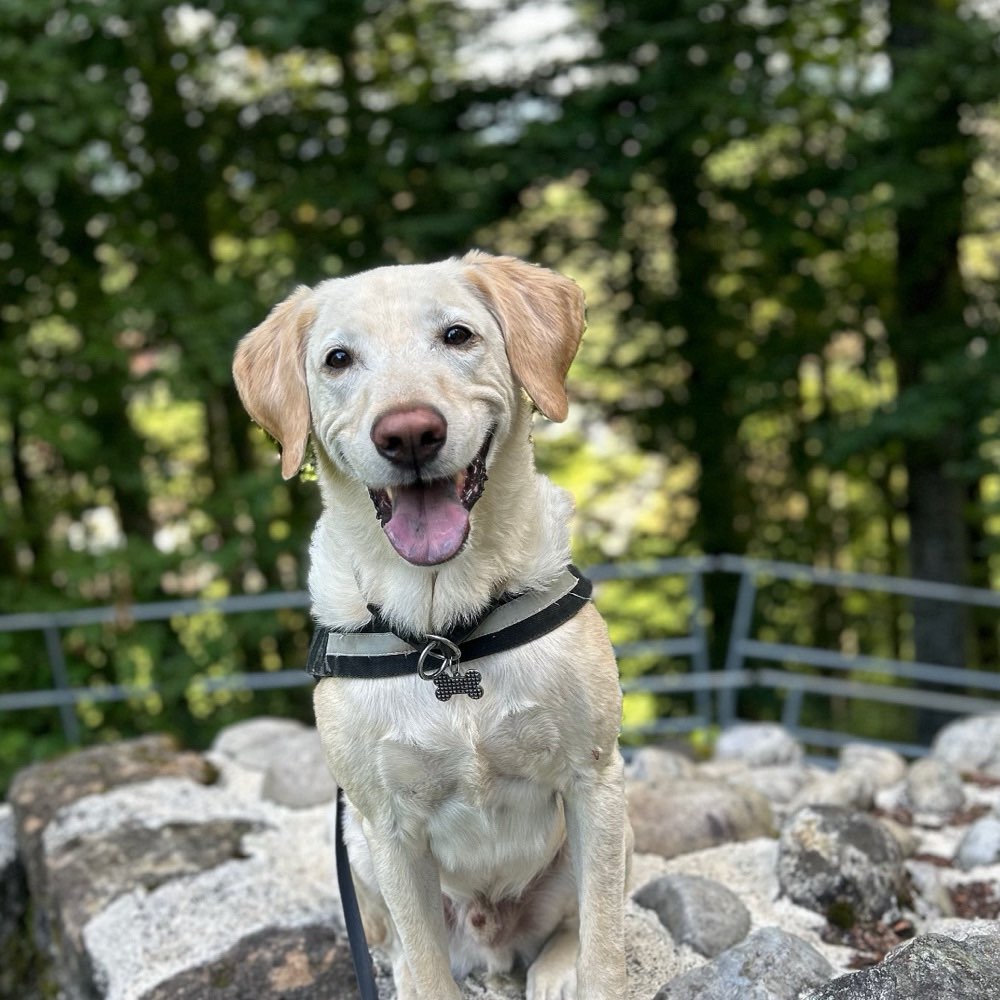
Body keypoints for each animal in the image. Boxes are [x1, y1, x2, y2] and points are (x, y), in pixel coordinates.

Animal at [230, 252, 628, 1000]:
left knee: (572, 924)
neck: (445, 633)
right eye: (337, 358)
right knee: (402, 952)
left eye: (456, 335)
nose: (410, 432)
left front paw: (588, 970)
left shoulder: (593, 780)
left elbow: (604, 948)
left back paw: (553, 967)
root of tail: (493, 942)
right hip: (355, 845)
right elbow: (423, 957)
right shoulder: (389, 830)